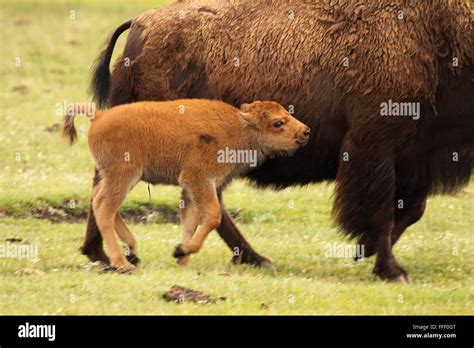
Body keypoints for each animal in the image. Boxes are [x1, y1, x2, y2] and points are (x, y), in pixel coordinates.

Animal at [63, 99, 312, 270]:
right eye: (278, 123)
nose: (306, 132)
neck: (239, 127)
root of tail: (99, 116)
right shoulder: (199, 180)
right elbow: (212, 216)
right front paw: (181, 251)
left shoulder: (191, 190)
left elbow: (190, 221)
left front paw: (181, 258)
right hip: (123, 176)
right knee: (104, 207)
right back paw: (122, 264)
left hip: (116, 177)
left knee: (100, 201)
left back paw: (133, 252)